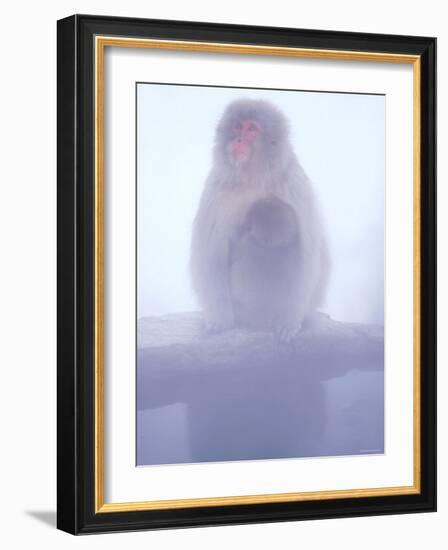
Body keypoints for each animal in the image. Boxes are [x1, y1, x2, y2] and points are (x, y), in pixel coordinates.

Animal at [189, 99, 328, 340]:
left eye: (252, 129)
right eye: (237, 126)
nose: (238, 139)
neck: (252, 177)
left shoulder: (295, 186)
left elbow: (309, 254)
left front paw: (289, 321)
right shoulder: (216, 188)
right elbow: (211, 252)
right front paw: (220, 317)